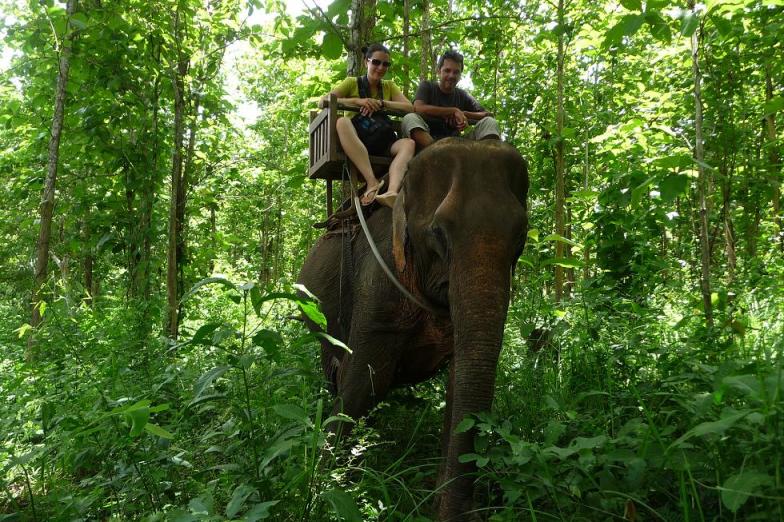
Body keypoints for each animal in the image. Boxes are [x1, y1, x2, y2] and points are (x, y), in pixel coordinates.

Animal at [297, 138, 529, 520]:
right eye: (438, 233)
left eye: (521, 236)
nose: (458, 514)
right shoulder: (376, 279)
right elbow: (363, 382)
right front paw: (321, 492)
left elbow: (459, 385)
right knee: (336, 372)